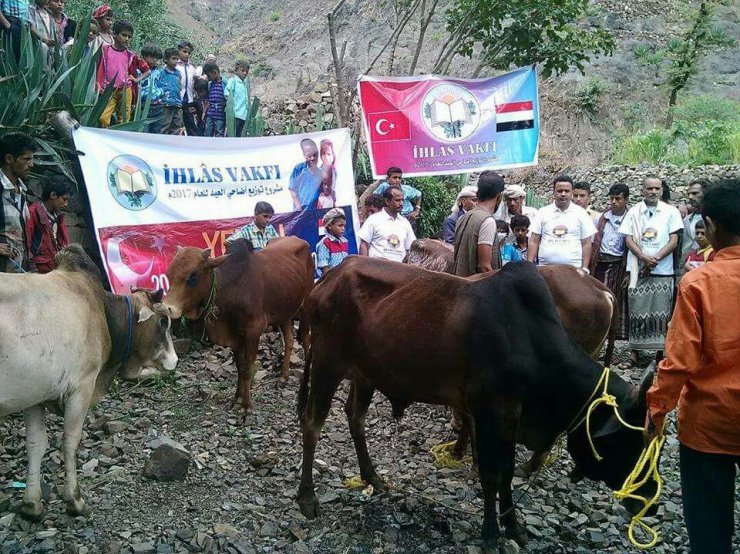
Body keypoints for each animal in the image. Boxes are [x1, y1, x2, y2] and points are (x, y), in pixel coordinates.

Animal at [0, 244, 178, 516]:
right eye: (163, 321)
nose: (175, 360)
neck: (101, 309)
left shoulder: (33, 396)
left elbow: (36, 444)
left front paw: (32, 503)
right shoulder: (81, 387)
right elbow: (70, 442)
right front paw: (74, 499)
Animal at [163, 235, 314, 412]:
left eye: (193, 276)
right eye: (169, 274)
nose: (167, 308)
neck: (231, 288)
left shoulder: (253, 331)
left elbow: (247, 369)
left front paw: (246, 407)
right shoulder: (234, 335)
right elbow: (239, 368)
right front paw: (237, 399)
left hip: (306, 305)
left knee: (306, 340)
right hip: (285, 311)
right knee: (289, 341)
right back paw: (283, 378)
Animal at [294, 256, 652, 548]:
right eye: (629, 439)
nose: (646, 501)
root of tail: (328, 277)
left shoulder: (511, 416)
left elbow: (506, 472)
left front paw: (513, 527)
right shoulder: (488, 410)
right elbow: (490, 474)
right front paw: (492, 535)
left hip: (364, 373)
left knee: (355, 417)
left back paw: (372, 477)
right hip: (327, 363)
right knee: (312, 423)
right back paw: (307, 497)